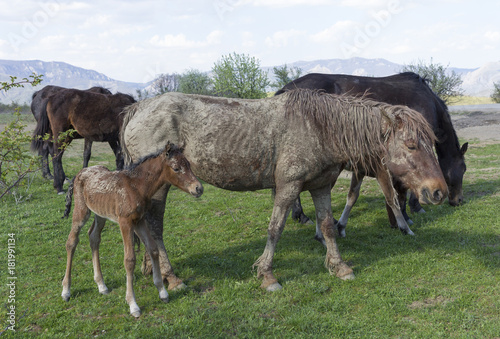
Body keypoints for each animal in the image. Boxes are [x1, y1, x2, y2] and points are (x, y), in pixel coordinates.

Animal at [61, 142, 202, 318]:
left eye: (188, 164)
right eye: (176, 168)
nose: (198, 188)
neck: (137, 186)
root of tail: (80, 172)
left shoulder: (139, 220)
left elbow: (153, 249)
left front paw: (162, 292)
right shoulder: (125, 222)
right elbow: (129, 259)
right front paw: (133, 305)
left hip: (100, 213)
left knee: (93, 237)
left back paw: (101, 285)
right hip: (81, 210)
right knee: (71, 241)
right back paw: (66, 291)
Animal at [120, 90, 446, 292]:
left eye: (431, 143)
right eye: (411, 145)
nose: (438, 192)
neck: (318, 127)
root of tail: (137, 109)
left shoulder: (320, 186)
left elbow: (327, 226)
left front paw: (340, 266)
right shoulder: (288, 187)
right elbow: (275, 228)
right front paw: (267, 275)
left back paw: (152, 269)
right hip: (161, 188)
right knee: (156, 228)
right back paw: (171, 277)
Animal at [278, 72, 468, 234]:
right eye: (464, 168)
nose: (458, 201)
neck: (430, 102)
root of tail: (285, 89)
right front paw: (416, 208)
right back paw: (303, 217)